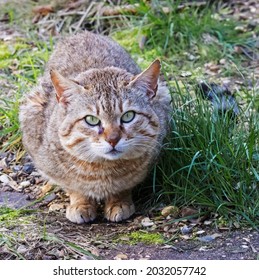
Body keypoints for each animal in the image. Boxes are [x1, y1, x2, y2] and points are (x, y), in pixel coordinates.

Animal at [19, 30, 172, 223]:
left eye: (128, 116)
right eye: (91, 120)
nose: (113, 139)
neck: (103, 170)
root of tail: (83, 33)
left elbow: (124, 187)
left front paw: (119, 202)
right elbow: (74, 187)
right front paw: (81, 203)